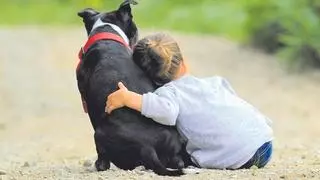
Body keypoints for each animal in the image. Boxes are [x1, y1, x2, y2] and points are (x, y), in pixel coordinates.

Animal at [76, 0, 189, 176]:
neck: (106, 31)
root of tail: (147, 146)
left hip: (98, 134)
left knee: (104, 160)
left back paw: (98, 165)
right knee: (178, 161)